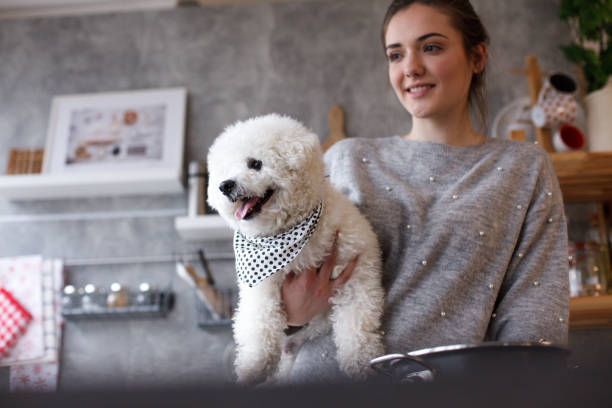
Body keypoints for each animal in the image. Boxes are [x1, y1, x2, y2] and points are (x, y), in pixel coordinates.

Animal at [208, 113, 384, 384]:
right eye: (225, 171)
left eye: (255, 164)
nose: (225, 185)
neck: (290, 232)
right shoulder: (261, 288)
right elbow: (260, 325)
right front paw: (253, 367)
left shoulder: (357, 274)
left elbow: (357, 326)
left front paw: (361, 363)